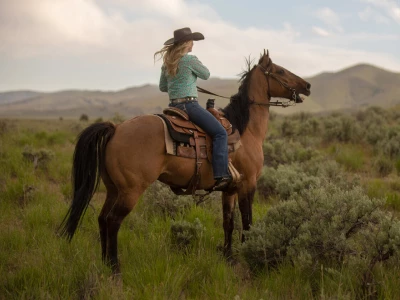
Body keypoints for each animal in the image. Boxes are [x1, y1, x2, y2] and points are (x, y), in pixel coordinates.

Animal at [58, 49, 312, 274]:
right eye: (280, 70)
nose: (307, 86)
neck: (244, 129)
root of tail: (116, 128)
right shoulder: (248, 184)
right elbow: (248, 224)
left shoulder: (230, 189)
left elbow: (228, 223)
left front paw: (229, 257)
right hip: (130, 191)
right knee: (112, 221)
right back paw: (114, 268)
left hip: (113, 189)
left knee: (102, 219)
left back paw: (104, 263)